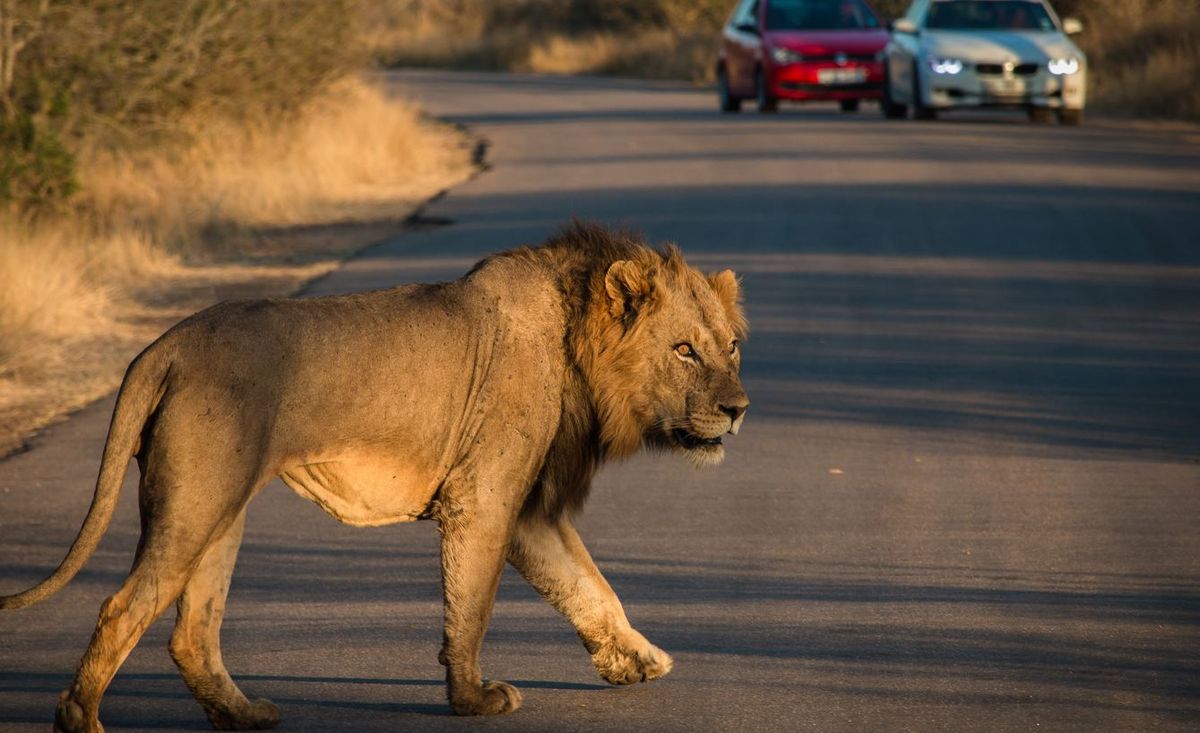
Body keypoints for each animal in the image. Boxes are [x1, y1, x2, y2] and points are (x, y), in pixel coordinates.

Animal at [2, 220, 748, 729]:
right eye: (684, 351)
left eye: (732, 346)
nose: (738, 408)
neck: (576, 343)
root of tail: (166, 345)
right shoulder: (484, 495)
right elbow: (474, 606)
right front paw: (473, 698)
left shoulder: (527, 507)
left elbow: (589, 585)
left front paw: (637, 659)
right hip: (197, 501)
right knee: (123, 606)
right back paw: (82, 720)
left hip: (220, 506)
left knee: (192, 630)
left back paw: (244, 713)